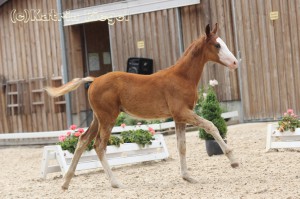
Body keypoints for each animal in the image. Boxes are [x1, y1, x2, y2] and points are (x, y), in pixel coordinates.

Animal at [45, 23, 239, 190]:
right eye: (217, 45)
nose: (235, 63)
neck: (181, 77)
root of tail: (94, 80)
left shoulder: (179, 118)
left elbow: (181, 146)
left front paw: (187, 177)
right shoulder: (183, 112)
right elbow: (211, 125)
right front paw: (233, 160)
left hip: (97, 118)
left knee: (83, 140)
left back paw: (65, 183)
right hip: (108, 119)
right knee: (99, 146)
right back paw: (116, 183)